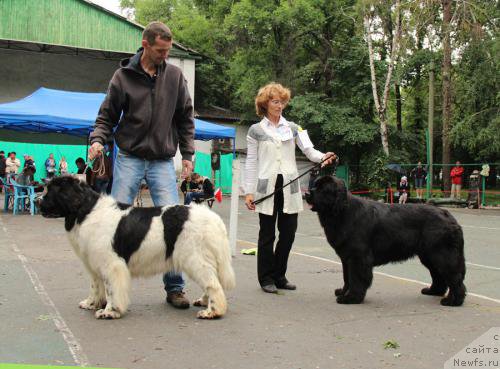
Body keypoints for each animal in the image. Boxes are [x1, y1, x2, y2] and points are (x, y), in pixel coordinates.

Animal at [38, 175, 235, 316]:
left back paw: (213, 311)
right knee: (213, 280)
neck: (86, 211)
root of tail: (213, 218)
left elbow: (111, 289)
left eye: (50, 191)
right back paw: (204, 301)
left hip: (194, 258)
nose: (37, 200)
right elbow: (96, 286)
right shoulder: (94, 263)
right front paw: (91, 303)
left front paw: (110, 311)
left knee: (213, 283)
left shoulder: (111, 264)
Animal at [306, 175, 466, 304]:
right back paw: (433, 291)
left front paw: (351, 298)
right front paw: (343, 291)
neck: (341, 212)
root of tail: (447, 214)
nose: (307, 193)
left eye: (323, 189)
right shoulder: (346, 257)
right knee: (439, 275)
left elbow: (356, 278)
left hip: (442, 254)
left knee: (454, 277)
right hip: (429, 255)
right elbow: (347, 277)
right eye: (315, 185)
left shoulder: (358, 257)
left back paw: (453, 301)